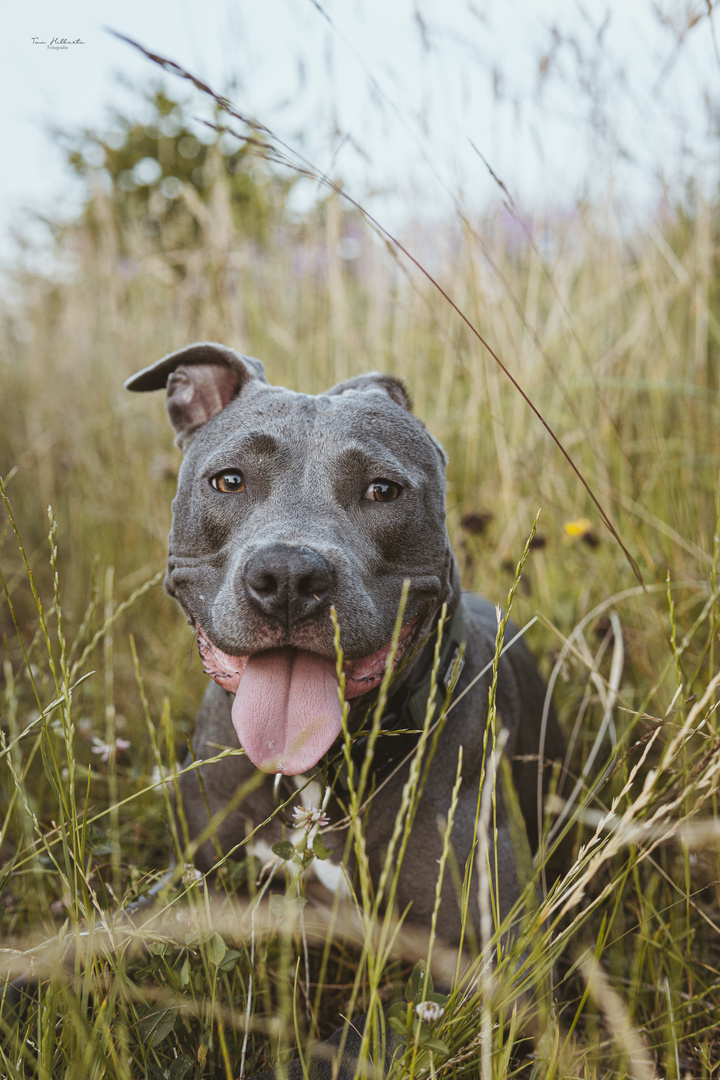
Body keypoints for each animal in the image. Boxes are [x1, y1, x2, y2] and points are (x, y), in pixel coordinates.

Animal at [126, 345, 569, 1080]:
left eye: (382, 491)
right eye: (228, 481)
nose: (287, 577)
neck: (320, 773)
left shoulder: (500, 959)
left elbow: (351, 1047)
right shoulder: (194, 876)